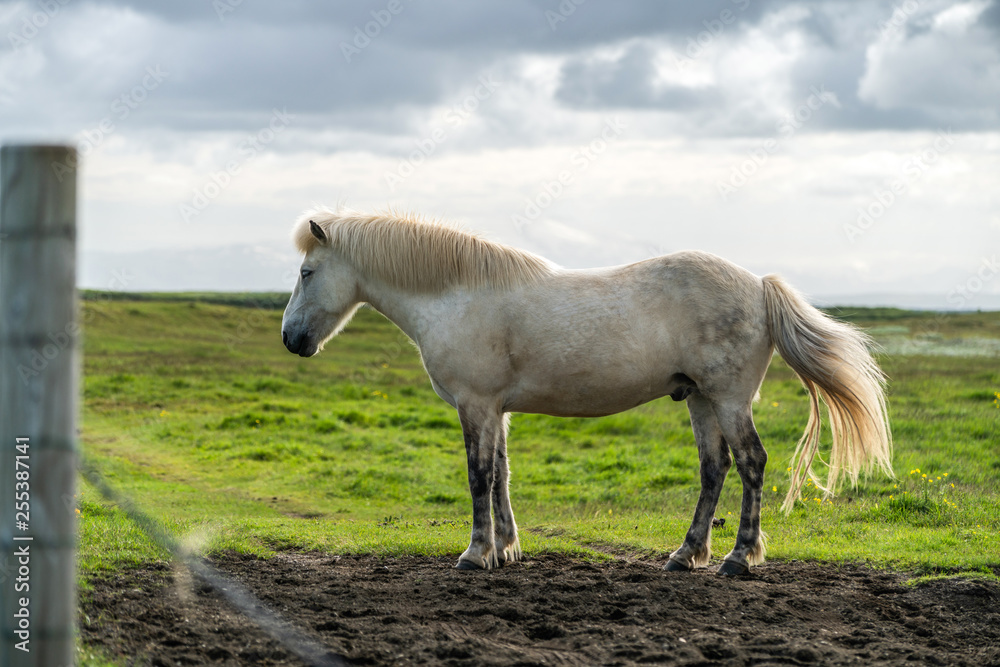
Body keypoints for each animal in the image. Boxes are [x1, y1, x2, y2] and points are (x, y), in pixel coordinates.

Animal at [280, 207, 892, 576]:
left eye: (308, 273)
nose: (291, 339)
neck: (457, 294)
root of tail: (759, 285)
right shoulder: (497, 410)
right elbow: (501, 474)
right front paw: (507, 548)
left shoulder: (476, 406)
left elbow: (478, 476)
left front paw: (476, 553)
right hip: (699, 399)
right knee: (714, 469)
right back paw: (687, 553)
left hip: (728, 399)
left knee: (751, 462)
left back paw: (739, 557)